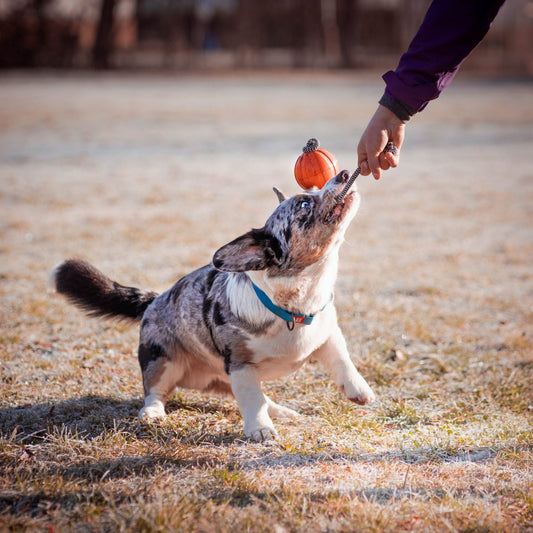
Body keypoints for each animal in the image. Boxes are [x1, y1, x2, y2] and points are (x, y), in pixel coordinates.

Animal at [51, 170, 374, 440]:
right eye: (304, 204)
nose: (343, 173)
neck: (293, 304)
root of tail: (155, 299)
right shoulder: (241, 366)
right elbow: (252, 400)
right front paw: (260, 431)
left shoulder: (327, 334)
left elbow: (343, 362)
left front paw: (360, 393)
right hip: (162, 361)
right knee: (154, 392)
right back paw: (152, 414)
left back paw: (283, 412)